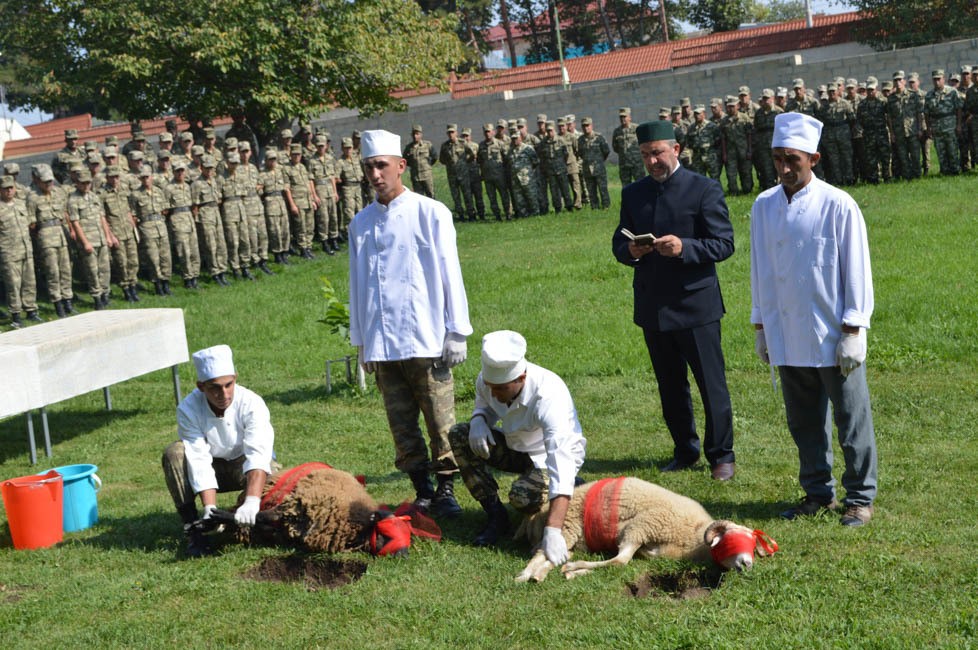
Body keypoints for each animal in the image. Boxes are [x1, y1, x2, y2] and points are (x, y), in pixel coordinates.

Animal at [516, 476, 772, 584]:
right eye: (731, 539)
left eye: (752, 545)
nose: (747, 564)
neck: (691, 537)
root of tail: (539, 514)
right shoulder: (640, 527)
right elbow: (620, 561)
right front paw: (574, 569)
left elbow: (620, 561)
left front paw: (574, 571)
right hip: (567, 526)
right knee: (542, 552)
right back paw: (525, 575)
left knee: (553, 556)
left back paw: (539, 575)